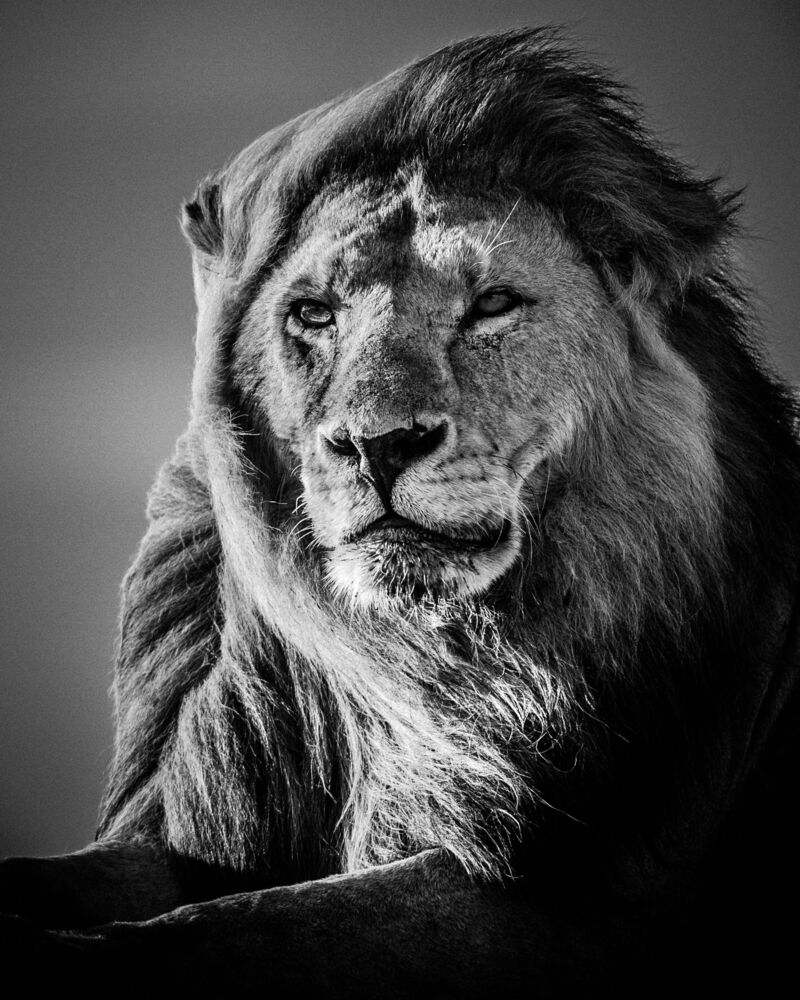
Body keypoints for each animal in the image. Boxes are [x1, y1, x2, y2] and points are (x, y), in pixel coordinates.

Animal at [2, 28, 799, 995]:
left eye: (493, 304)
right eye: (313, 314)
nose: (378, 445)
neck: (425, 663)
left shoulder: (586, 898)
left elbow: (263, 924)